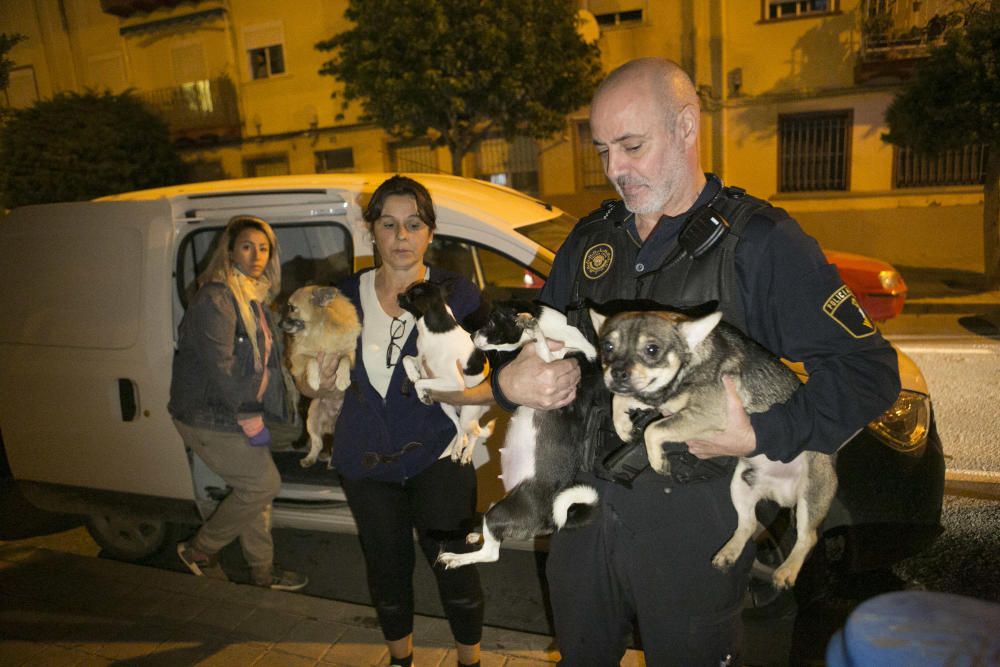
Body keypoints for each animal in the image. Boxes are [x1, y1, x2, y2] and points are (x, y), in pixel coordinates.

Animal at [280, 288, 362, 470]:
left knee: (332, 447)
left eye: (292, 308)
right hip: (312, 419)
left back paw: (331, 463)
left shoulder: (350, 356)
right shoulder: (298, 359)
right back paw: (310, 459)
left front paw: (342, 379)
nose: (279, 324)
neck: (320, 328)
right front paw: (314, 380)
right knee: (318, 444)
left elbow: (343, 359)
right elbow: (312, 360)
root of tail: (330, 424)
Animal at [396, 280, 494, 464]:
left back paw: (467, 453)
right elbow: (407, 360)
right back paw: (457, 448)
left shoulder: (453, 382)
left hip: (468, 413)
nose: (398, 295)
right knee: (459, 427)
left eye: (410, 294)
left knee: (475, 432)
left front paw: (421, 394)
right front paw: (412, 375)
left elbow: (421, 382)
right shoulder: (421, 360)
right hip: (447, 406)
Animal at [438, 302, 600, 568]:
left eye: (492, 322)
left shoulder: (558, 373)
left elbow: (542, 345)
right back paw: (474, 536)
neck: (565, 336)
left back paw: (455, 558)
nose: (471, 336)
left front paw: (534, 329)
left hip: (498, 512)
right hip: (496, 506)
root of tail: (550, 520)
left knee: (491, 554)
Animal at [588, 310, 840, 588]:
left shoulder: (706, 414)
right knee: (748, 524)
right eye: (607, 347)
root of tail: (783, 497)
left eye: (652, 350)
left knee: (808, 537)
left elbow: (654, 430)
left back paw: (787, 571)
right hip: (741, 486)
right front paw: (622, 426)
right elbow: (621, 399)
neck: (688, 365)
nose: (617, 373)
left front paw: (657, 460)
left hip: (811, 493)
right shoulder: (660, 401)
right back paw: (728, 553)